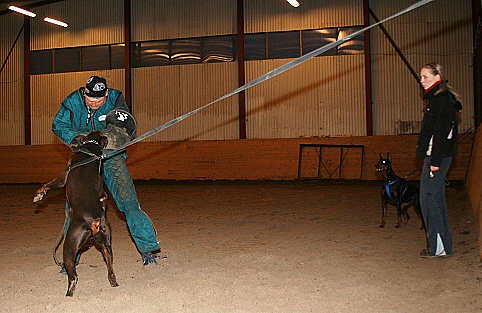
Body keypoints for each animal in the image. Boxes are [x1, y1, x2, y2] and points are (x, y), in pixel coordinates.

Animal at [33, 130, 118, 296]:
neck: (90, 148)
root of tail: (94, 221)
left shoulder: (62, 178)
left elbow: (48, 184)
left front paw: (39, 195)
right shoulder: (102, 191)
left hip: (69, 247)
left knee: (74, 277)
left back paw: (68, 295)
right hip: (106, 245)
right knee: (111, 272)